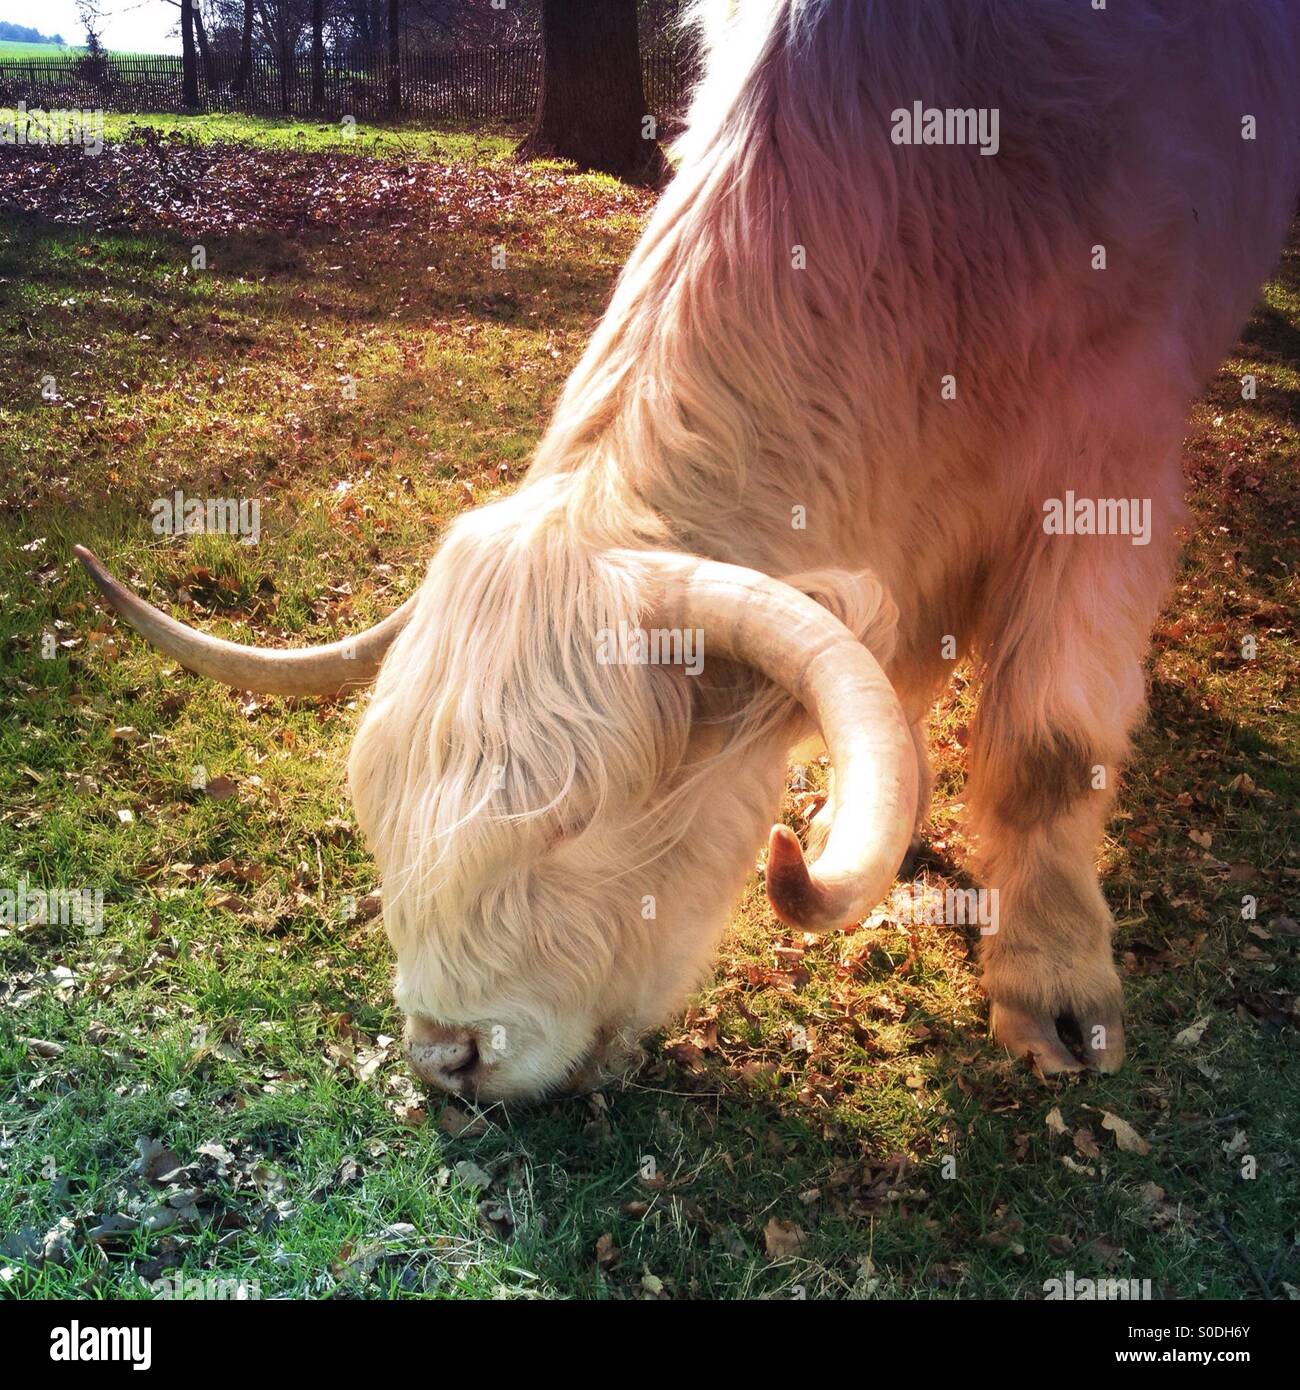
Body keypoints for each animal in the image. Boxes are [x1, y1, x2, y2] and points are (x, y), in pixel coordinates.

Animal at [78, 0, 1300, 1100]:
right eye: (379, 797)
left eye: (576, 820)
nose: (448, 1056)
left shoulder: (1110, 457)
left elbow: (1050, 737)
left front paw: (1055, 988)